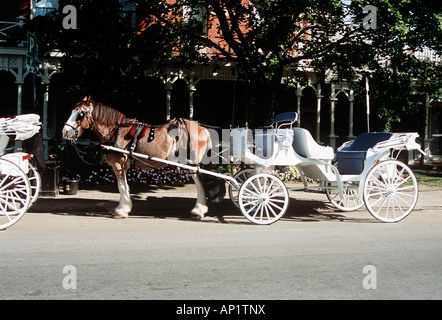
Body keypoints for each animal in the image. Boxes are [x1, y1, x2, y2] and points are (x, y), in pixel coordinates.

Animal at [61, 96, 212, 219]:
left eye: (80, 113)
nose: (65, 132)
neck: (116, 132)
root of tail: (203, 129)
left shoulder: (119, 164)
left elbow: (122, 187)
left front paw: (122, 210)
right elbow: (124, 186)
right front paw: (124, 208)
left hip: (192, 164)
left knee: (200, 183)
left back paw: (198, 210)